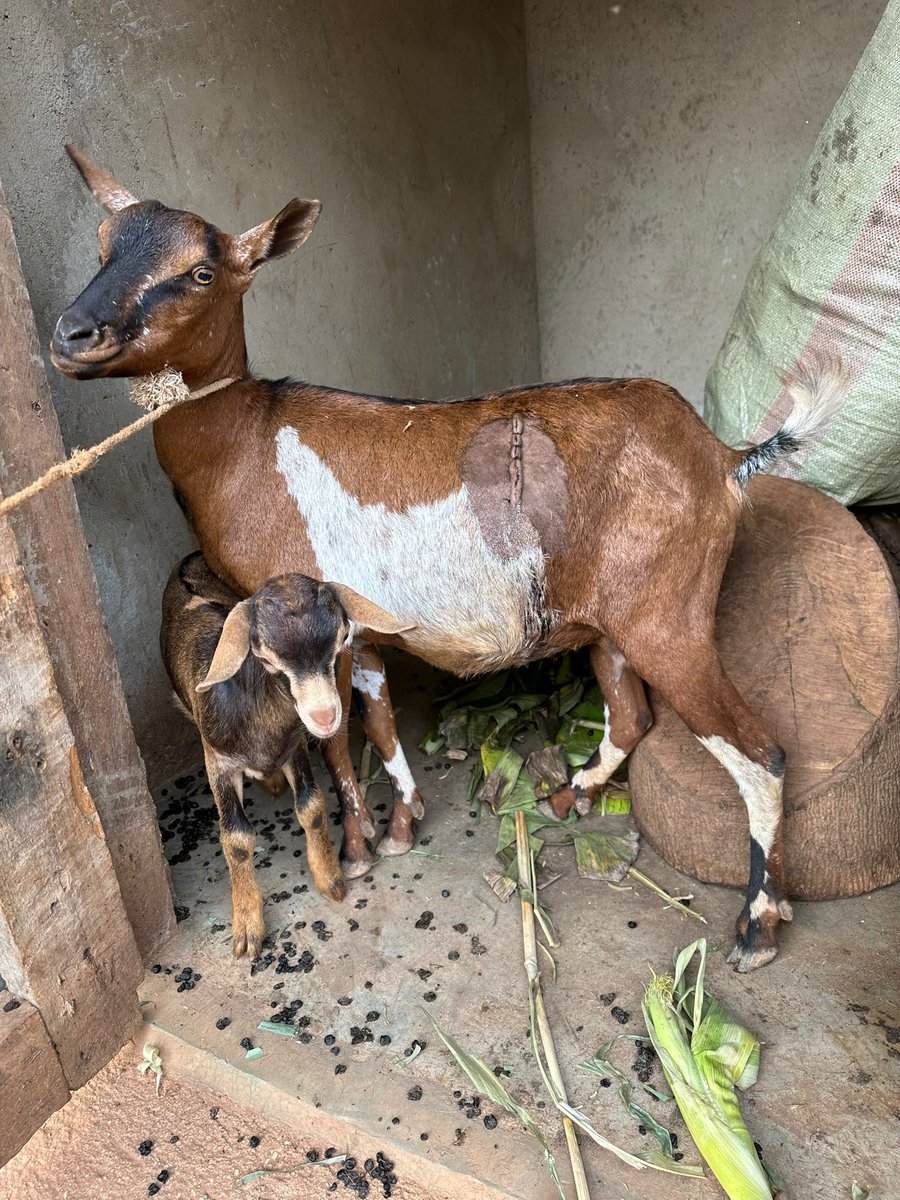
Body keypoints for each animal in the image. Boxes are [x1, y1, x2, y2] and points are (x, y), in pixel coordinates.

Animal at [161, 552, 410, 957]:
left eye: (342, 639)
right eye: (265, 657)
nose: (325, 717)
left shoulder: (295, 749)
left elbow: (311, 806)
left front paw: (330, 880)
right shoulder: (218, 764)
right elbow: (236, 839)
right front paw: (247, 930)